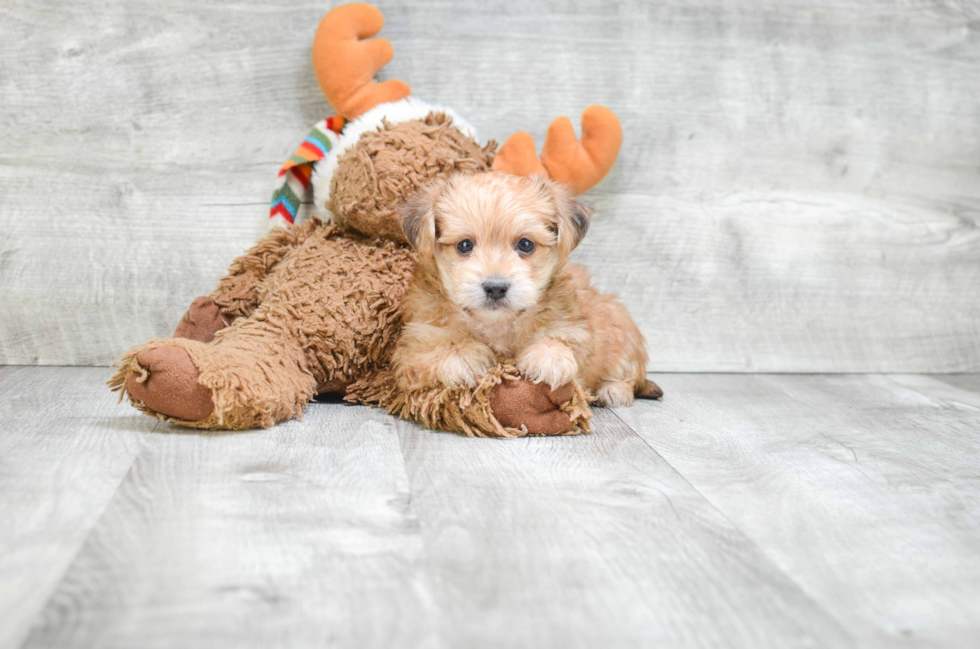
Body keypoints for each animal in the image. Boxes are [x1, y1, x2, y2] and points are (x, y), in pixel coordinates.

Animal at [394, 172, 664, 404]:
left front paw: (549, 356)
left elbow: (564, 339)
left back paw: (613, 389)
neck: (497, 325)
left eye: (525, 245)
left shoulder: (574, 325)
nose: (495, 287)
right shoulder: (415, 343)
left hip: (622, 328)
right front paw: (461, 354)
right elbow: (432, 350)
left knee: (629, 374)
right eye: (464, 245)